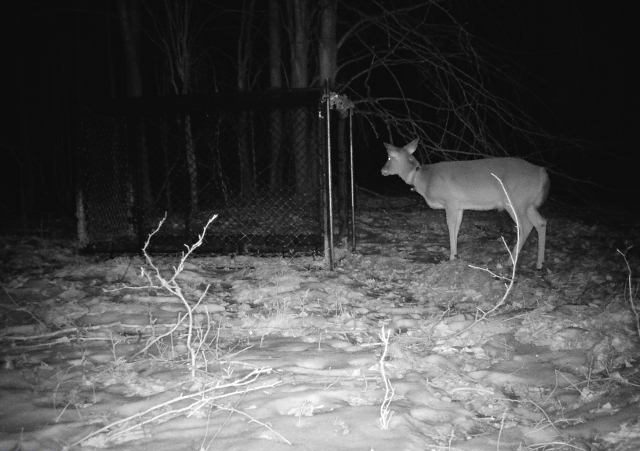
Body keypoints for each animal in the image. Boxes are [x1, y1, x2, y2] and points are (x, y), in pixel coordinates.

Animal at [380, 139, 552, 268]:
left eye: (388, 158)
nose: (382, 170)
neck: (423, 179)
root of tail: (542, 173)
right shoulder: (459, 205)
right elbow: (457, 227)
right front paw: (456, 255)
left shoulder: (450, 200)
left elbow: (450, 226)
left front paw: (451, 257)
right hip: (528, 204)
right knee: (541, 222)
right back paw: (539, 263)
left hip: (515, 200)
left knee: (526, 225)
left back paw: (510, 261)